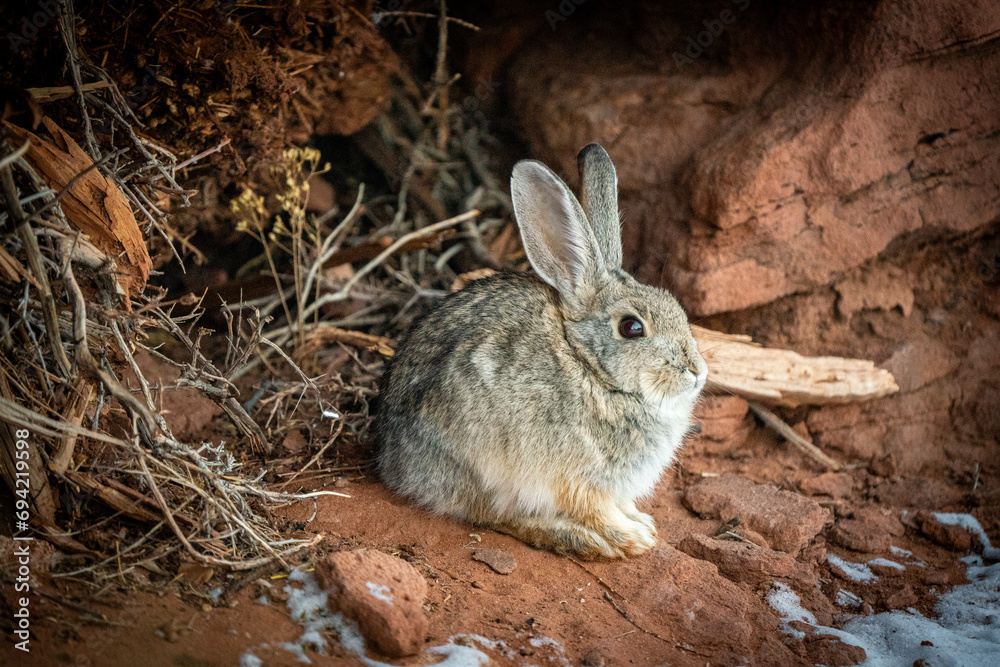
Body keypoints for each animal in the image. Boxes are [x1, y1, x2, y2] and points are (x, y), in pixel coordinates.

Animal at [374, 143, 708, 559]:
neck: (590, 367)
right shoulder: (577, 478)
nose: (697, 372)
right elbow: (595, 510)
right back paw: (575, 537)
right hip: (485, 465)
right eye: (632, 328)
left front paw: (640, 521)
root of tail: (393, 464)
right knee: (497, 518)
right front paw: (633, 537)